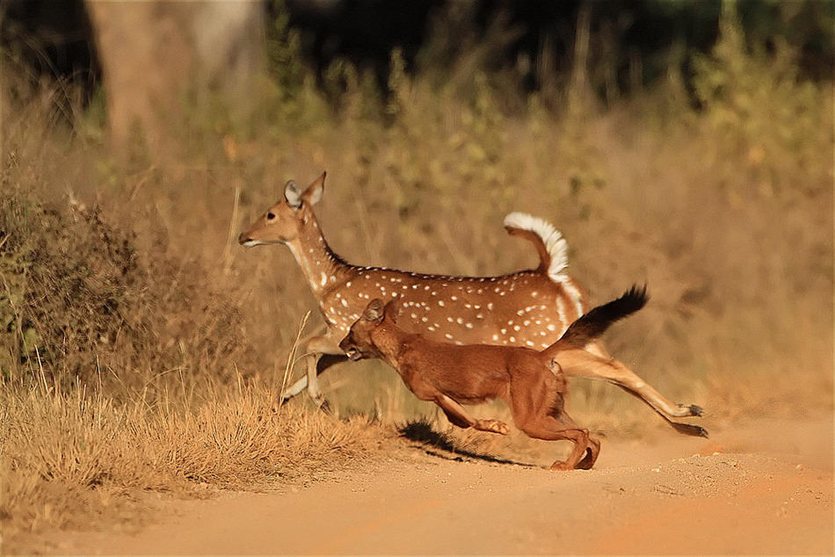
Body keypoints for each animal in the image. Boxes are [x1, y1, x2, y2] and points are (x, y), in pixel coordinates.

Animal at [238, 173, 708, 434]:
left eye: (270, 214)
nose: (243, 236)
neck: (331, 281)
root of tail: (552, 274)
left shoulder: (342, 328)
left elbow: (307, 348)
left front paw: (319, 402)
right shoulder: (352, 345)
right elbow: (307, 368)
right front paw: (281, 404)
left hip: (543, 340)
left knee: (614, 370)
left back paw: (686, 417)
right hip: (577, 333)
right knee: (619, 365)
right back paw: (688, 417)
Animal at [340, 282, 672, 470]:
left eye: (350, 331)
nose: (341, 345)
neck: (401, 344)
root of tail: (540, 355)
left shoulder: (433, 393)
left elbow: (466, 421)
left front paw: (496, 427)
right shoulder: (443, 397)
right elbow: (459, 421)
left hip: (530, 419)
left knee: (581, 434)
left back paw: (565, 466)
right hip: (552, 411)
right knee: (592, 435)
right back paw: (585, 464)